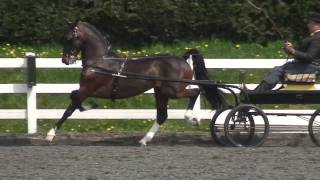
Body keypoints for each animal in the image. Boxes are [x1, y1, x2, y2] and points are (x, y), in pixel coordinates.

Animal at [45, 20, 225, 145]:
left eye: (69, 38)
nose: (65, 60)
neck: (100, 62)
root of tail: (182, 59)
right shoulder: (89, 90)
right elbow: (73, 98)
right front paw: (90, 106)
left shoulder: (89, 88)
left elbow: (71, 107)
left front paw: (50, 134)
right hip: (161, 92)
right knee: (162, 115)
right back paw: (145, 139)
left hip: (174, 90)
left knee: (196, 92)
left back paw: (191, 118)